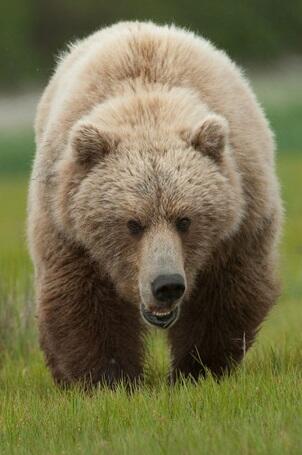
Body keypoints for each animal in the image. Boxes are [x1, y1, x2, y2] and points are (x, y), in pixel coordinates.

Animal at [27, 21, 282, 388]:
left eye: (185, 220)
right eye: (132, 223)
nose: (167, 285)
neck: (148, 105)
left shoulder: (241, 221)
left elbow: (223, 296)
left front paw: (199, 369)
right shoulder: (68, 229)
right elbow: (82, 300)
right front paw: (109, 379)